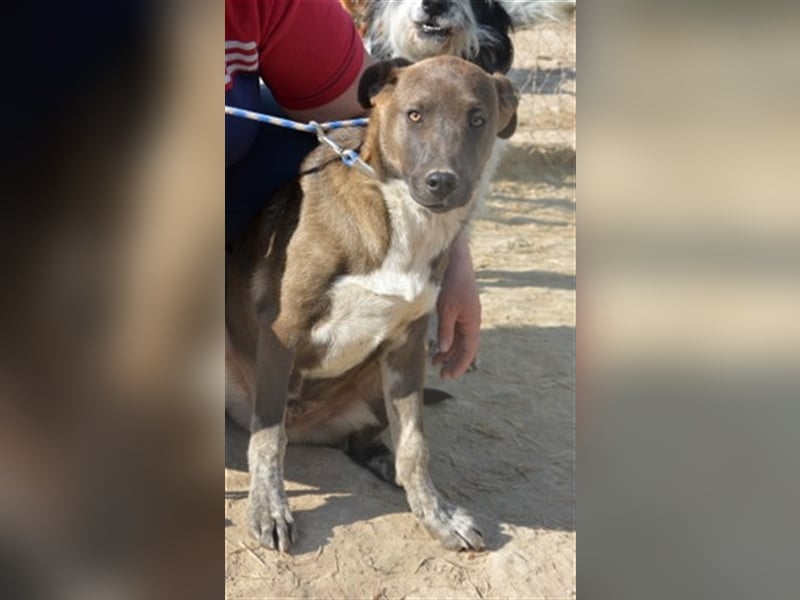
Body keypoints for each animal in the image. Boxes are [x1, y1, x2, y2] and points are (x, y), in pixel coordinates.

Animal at [225, 56, 519, 552]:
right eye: (415, 114)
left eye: (478, 118)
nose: (442, 182)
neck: (405, 220)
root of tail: (308, 427)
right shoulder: (283, 333)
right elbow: (267, 440)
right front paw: (268, 507)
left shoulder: (407, 347)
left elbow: (415, 445)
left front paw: (436, 513)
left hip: (377, 384)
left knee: (367, 443)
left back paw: (387, 467)